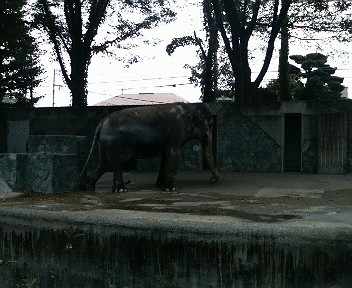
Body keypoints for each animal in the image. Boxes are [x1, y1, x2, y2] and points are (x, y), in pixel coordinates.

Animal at [82, 102, 220, 192]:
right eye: (210, 124)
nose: (212, 179)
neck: (189, 108)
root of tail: (102, 122)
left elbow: (165, 157)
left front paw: (159, 186)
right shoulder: (176, 131)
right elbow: (174, 154)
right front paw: (170, 189)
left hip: (105, 143)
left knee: (105, 163)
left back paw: (89, 186)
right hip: (115, 143)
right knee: (117, 164)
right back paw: (120, 190)